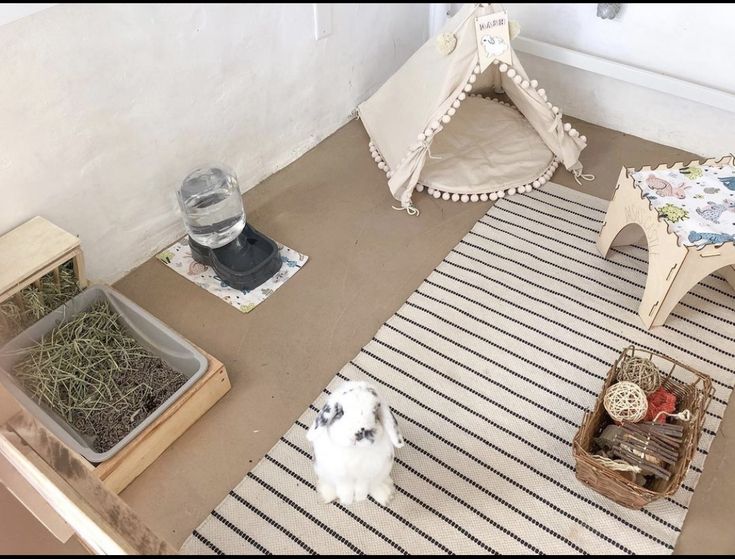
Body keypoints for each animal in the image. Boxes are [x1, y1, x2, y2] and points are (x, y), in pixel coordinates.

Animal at [308, 380, 406, 508]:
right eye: (340, 412)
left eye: (375, 412)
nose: (360, 431)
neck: (355, 450)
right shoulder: (340, 476)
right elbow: (345, 489)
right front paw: (347, 501)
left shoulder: (368, 474)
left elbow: (362, 488)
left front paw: (359, 498)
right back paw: (325, 496)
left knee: (377, 484)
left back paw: (386, 496)